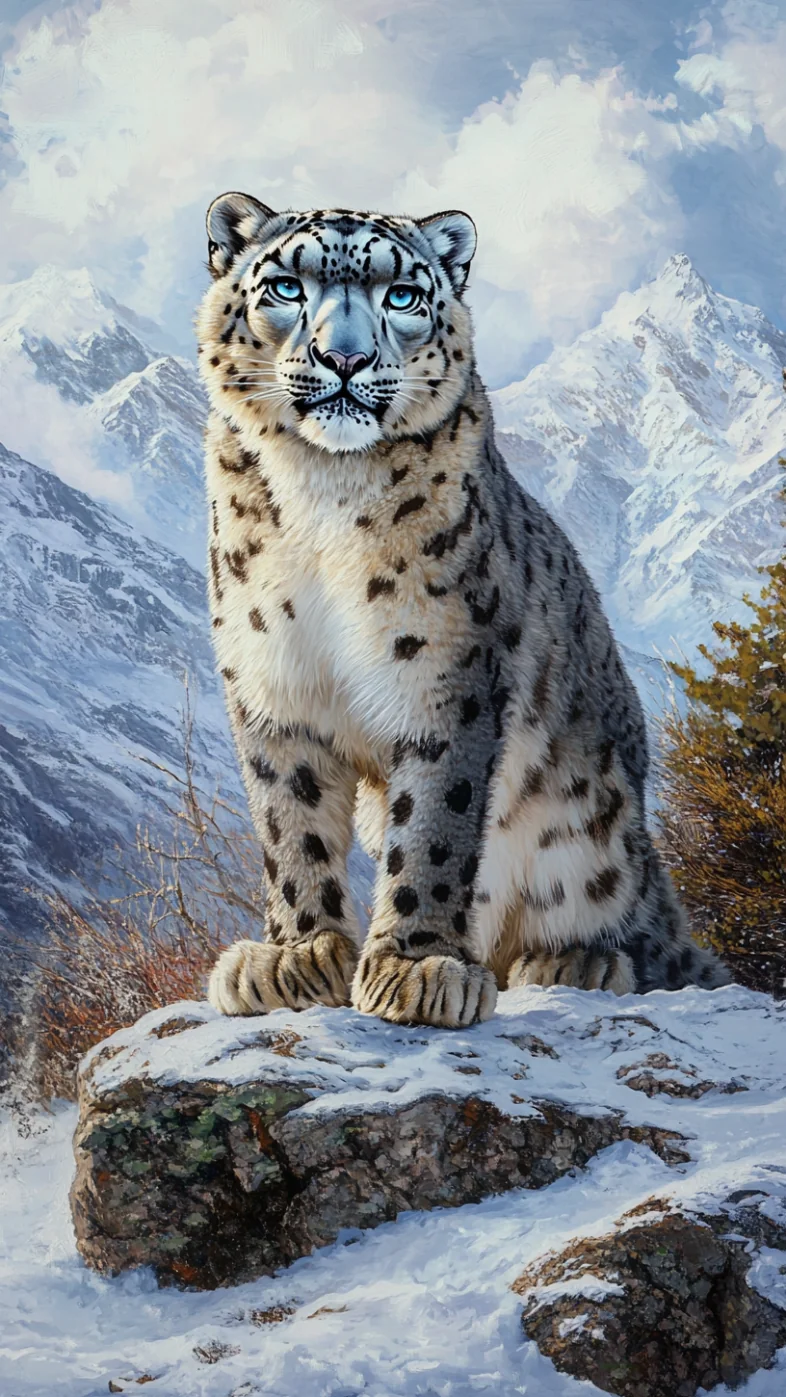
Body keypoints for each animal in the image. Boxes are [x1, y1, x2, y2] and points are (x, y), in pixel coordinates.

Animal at [196, 190, 730, 1029]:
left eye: (401, 295)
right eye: (286, 286)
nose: (344, 358)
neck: (322, 492)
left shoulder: (446, 669)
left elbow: (434, 825)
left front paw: (415, 969)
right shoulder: (273, 676)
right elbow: (291, 823)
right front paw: (296, 957)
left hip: (597, 826)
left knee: (632, 930)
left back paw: (575, 958)